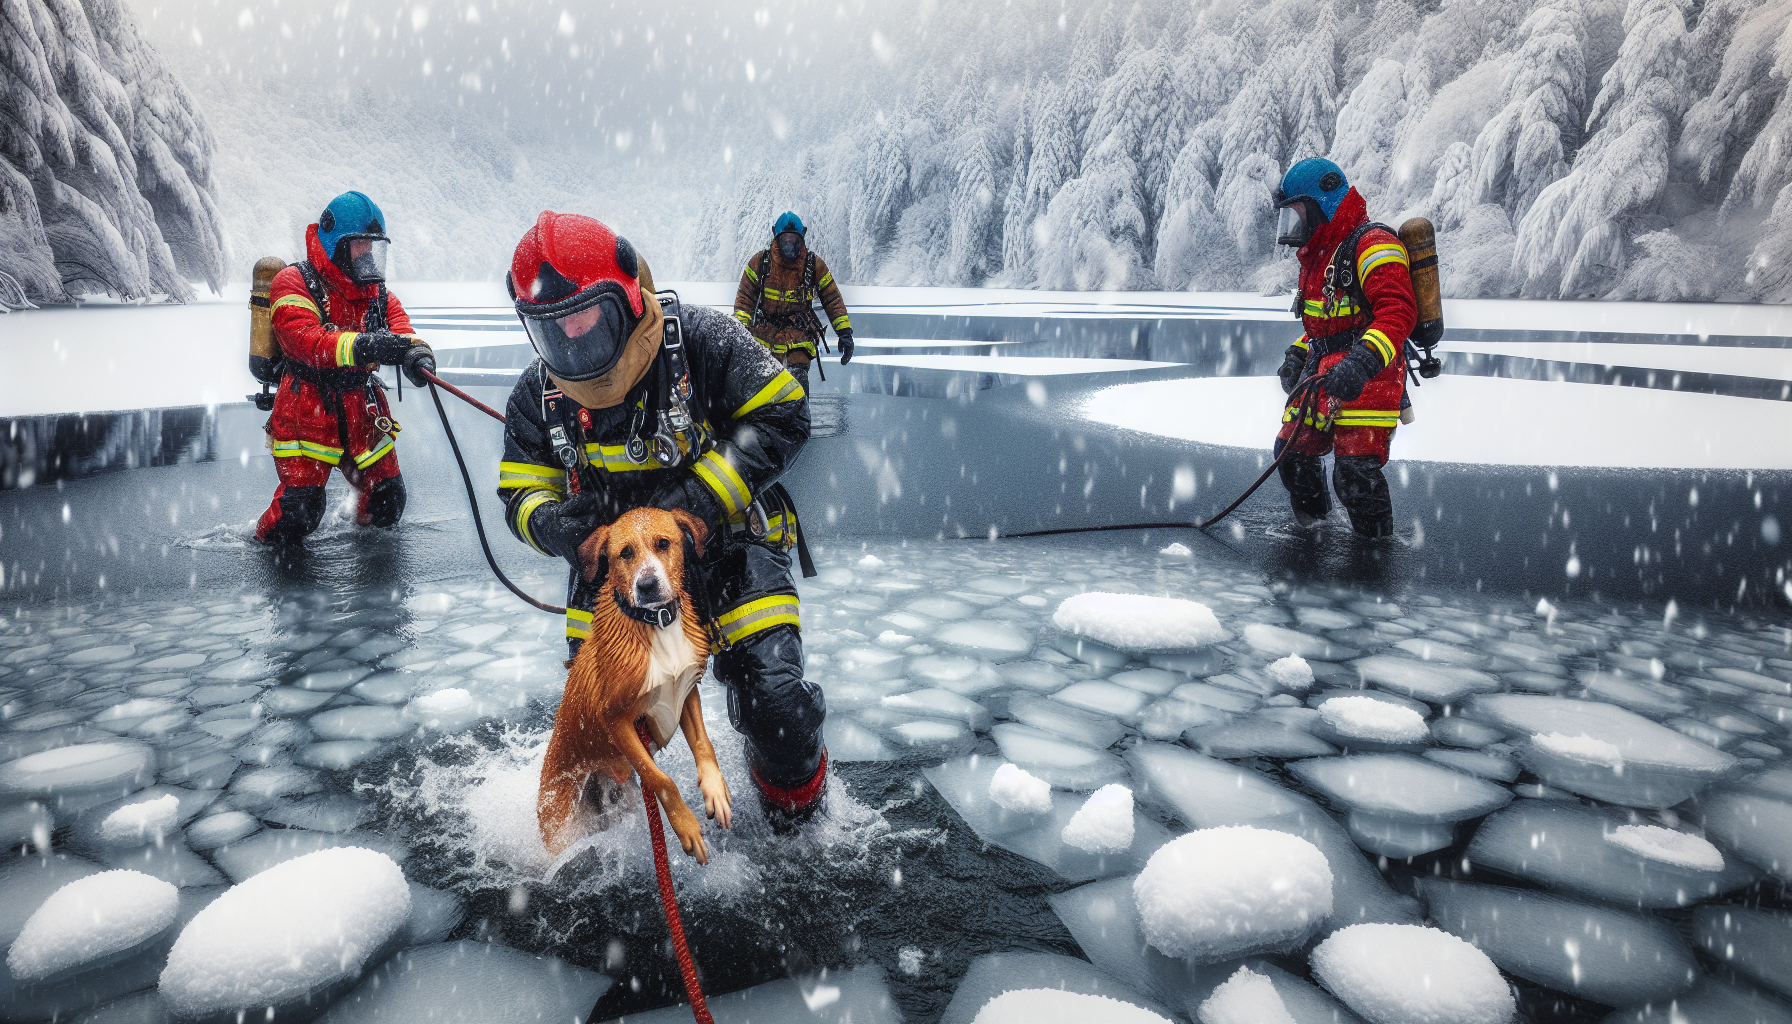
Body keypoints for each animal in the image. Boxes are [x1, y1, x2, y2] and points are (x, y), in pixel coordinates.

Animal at [534, 509, 731, 860]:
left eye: (663, 543)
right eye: (624, 553)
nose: (647, 585)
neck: (657, 623)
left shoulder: (686, 692)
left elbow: (704, 745)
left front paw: (715, 790)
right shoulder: (616, 719)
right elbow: (661, 779)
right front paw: (687, 827)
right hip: (563, 826)